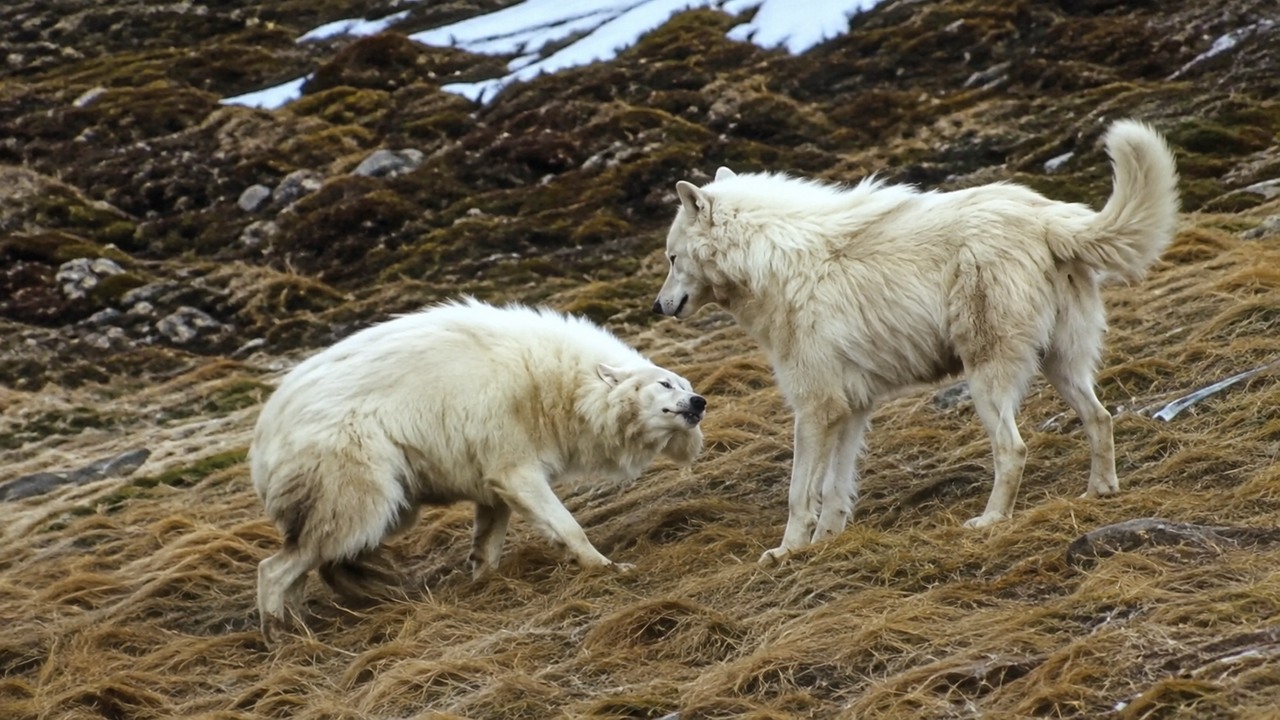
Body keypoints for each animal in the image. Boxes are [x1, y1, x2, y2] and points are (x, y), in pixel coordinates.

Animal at [251, 298, 706, 640]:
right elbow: (569, 525)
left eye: (684, 384)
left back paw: (322, 615)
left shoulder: (493, 480)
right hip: (364, 497)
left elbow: (488, 544)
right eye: (666, 384)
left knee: (317, 565)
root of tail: (263, 437)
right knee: (276, 568)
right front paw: (606, 567)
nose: (699, 401)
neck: (558, 385)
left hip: (389, 505)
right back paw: (280, 635)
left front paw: (486, 582)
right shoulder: (515, 467)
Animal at [653, 120, 1179, 566]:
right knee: (1101, 417)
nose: (658, 307)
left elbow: (800, 492)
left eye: (672, 257)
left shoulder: (814, 408)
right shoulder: (851, 408)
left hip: (987, 379)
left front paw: (787, 551)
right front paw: (827, 542)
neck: (772, 262)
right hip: (1060, 364)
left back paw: (991, 519)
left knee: (1013, 448)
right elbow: (836, 490)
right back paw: (1100, 491)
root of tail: (1048, 216)